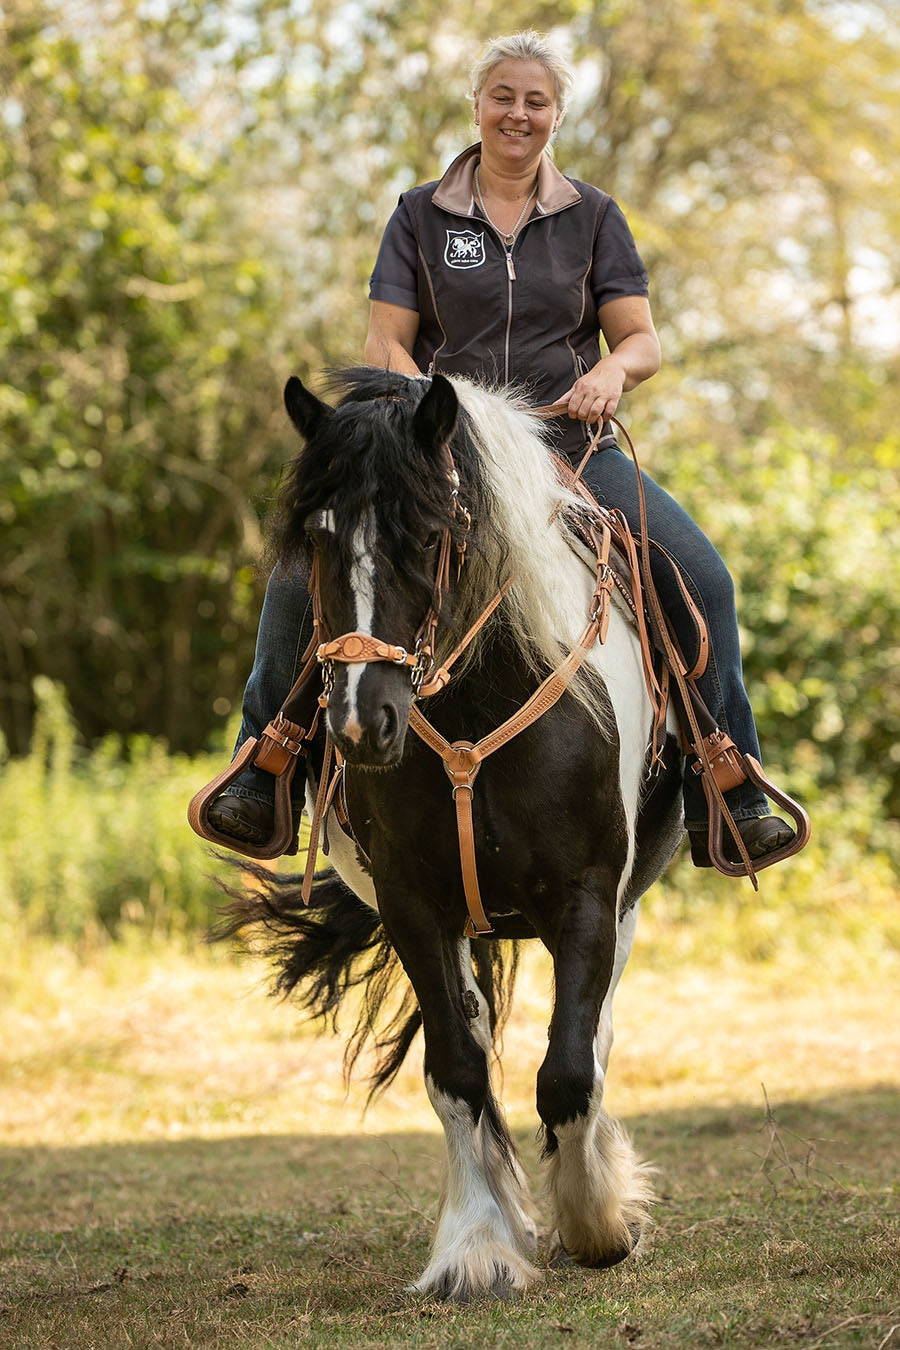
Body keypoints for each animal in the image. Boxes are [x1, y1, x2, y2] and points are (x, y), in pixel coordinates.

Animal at [221, 367, 685, 1296]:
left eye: (431, 534)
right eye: (316, 540)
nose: (361, 724)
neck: (476, 701)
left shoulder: (587, 900)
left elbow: (569, 1071)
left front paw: (598, 1225)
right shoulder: (413, 906)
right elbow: (458, 1073)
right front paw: (476, 1248)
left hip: (621, 915)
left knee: (595, 1040)